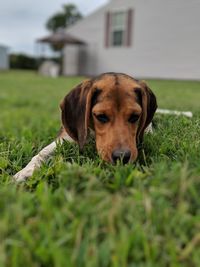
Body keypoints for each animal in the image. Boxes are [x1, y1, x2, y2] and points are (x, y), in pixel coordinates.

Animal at [13, 72, 158, 183]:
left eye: (135, 116)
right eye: (101, 116)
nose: (122, 157)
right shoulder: (64, 137)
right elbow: (42, 152)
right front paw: (26, 171)